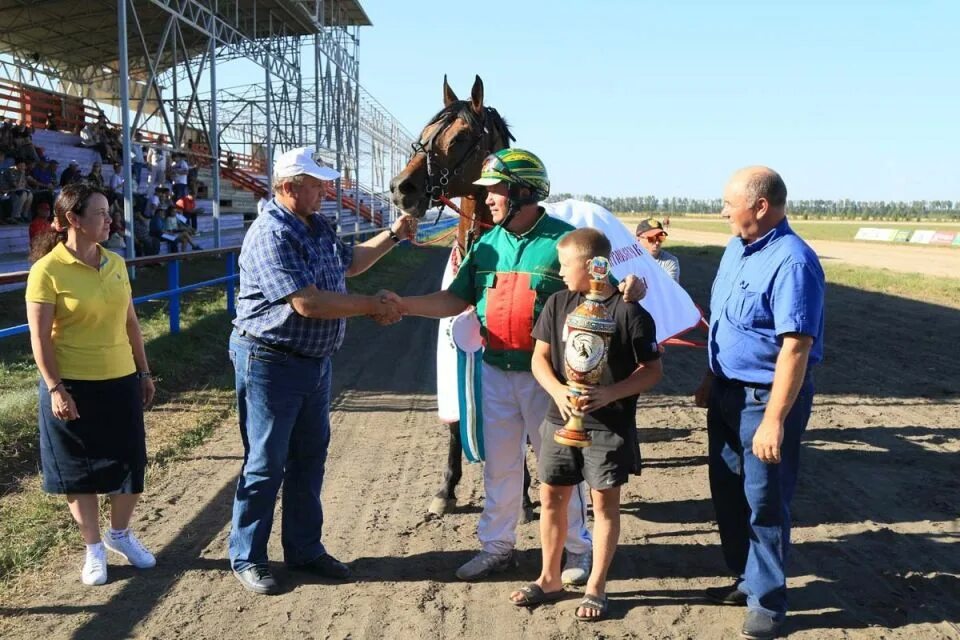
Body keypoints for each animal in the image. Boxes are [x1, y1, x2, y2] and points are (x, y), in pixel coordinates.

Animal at [390, 75, 540, 516]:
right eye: (422, 135)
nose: (400, 188)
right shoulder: (453, 348)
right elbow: (457, 420)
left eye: (459, 138)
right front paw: (446, 488)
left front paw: (524, 493)